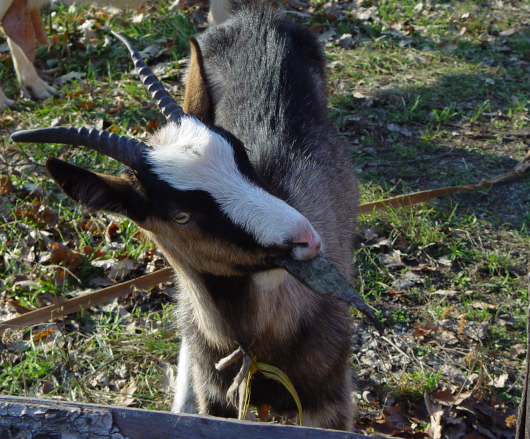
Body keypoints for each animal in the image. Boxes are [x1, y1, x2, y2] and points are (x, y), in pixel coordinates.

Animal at [11, 1, 368, 432]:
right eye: (180, 215)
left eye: (243, 158)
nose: (306, 238)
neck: (251, 344)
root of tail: (258, 19)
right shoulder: (218, 402)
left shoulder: (329, 404)